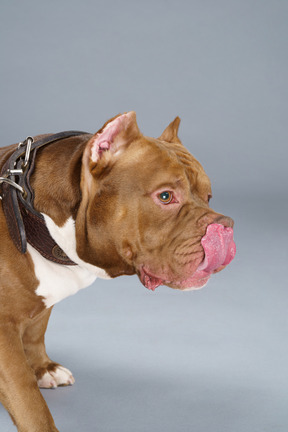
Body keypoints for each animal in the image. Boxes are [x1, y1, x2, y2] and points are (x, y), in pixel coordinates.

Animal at [0, 112, 235, 432]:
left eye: (208, 196)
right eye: (165, 196)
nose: (224, 226)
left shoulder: (45, 298)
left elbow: (36, 331)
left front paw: (43, 368)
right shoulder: (3, 331)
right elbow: (26, 396)